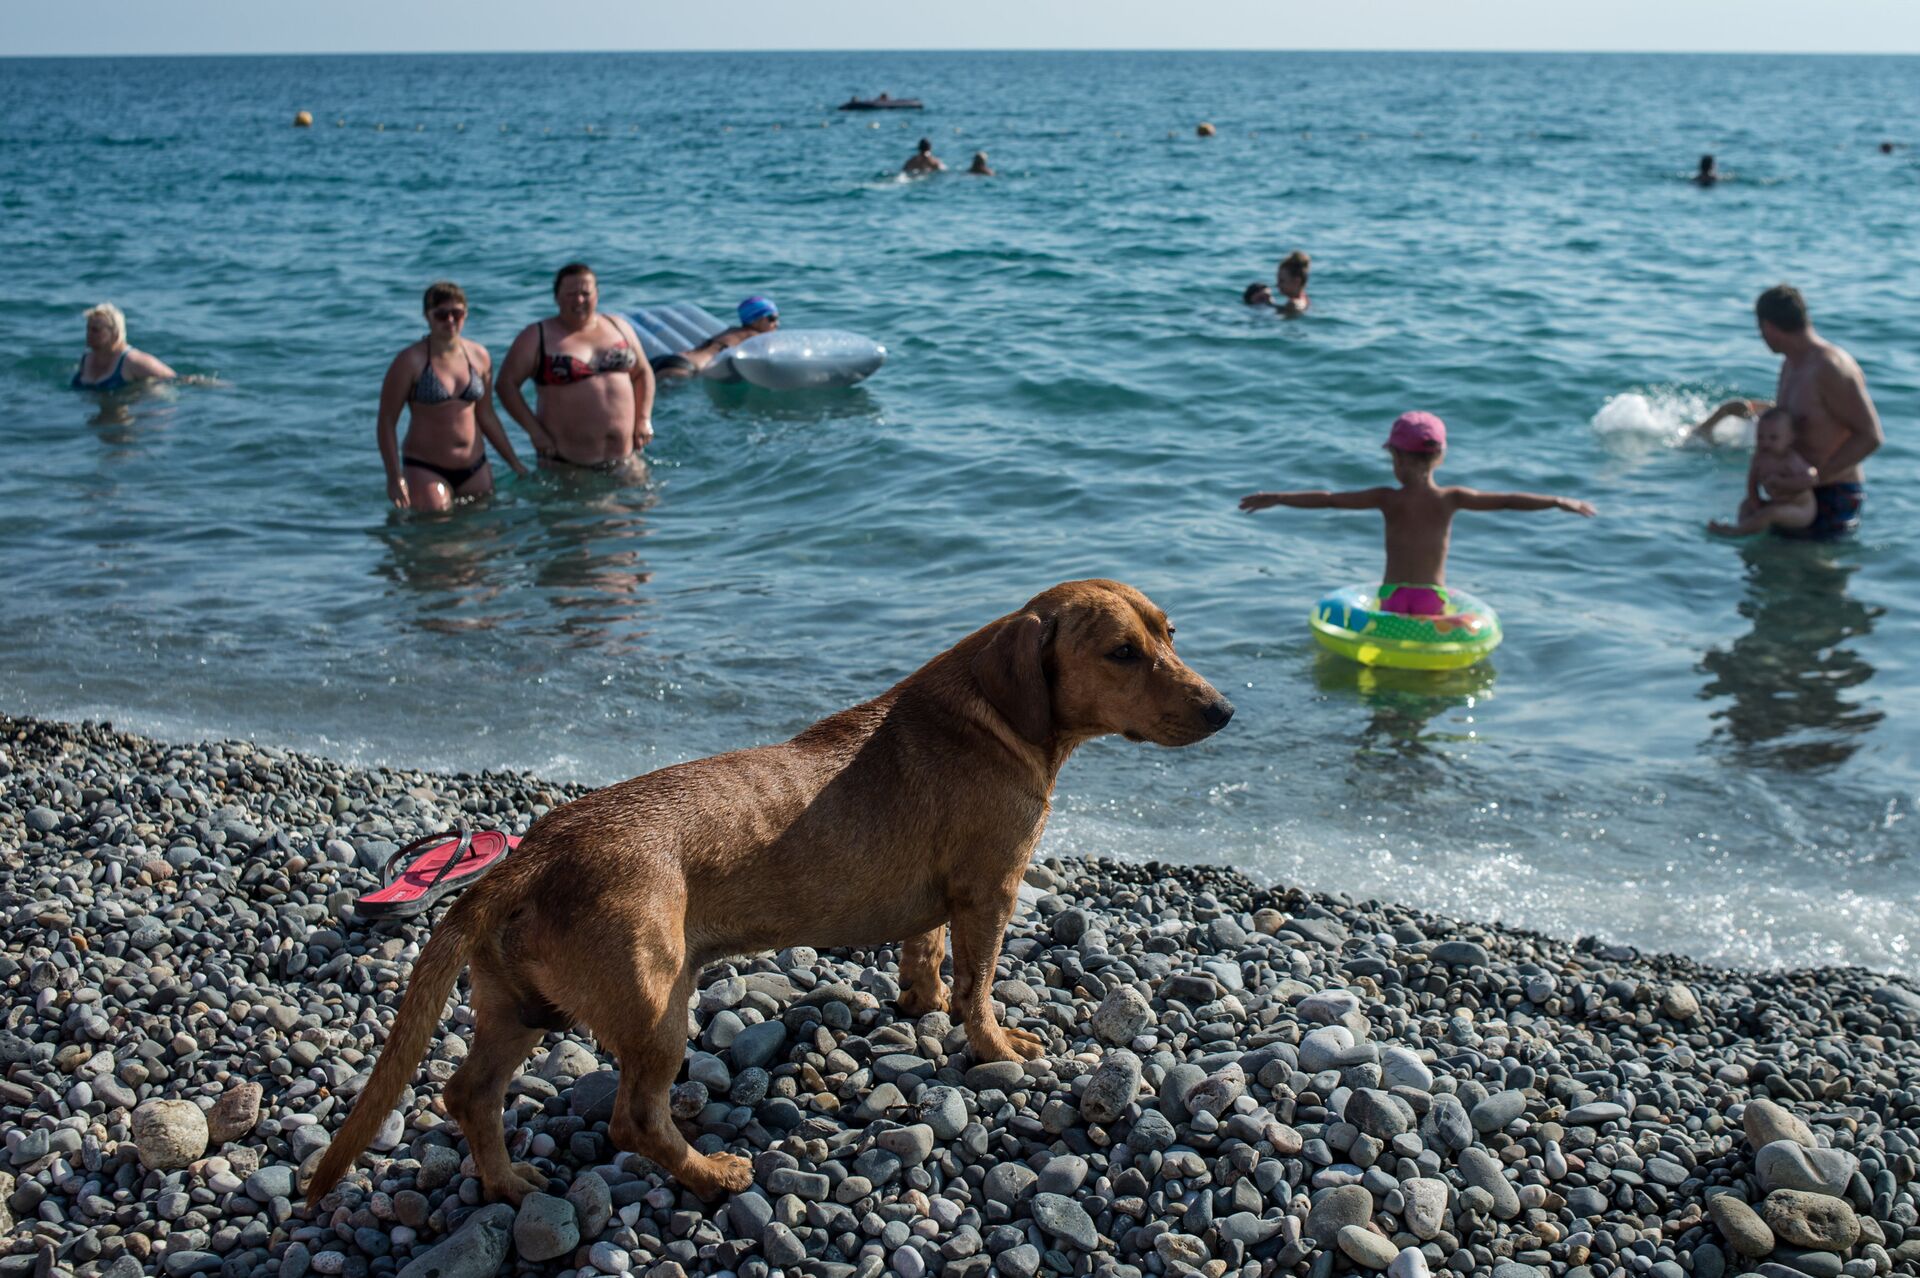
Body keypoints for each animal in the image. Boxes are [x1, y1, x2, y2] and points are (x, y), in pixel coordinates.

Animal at [305, 575, 1221, 1197]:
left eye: (1171, 633)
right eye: (1122, 653)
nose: (1224, 712)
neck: (997, 717)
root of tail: (528, 857)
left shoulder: (943, 903)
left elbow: (924, 958)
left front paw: (920, 1006)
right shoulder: (990, 893)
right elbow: (980, 989)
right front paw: (995, 1048)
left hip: (517, 1008)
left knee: (470, 1094)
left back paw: (504, 1185)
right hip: (657, 1005)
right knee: (633, 1118)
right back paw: (711, 1173)